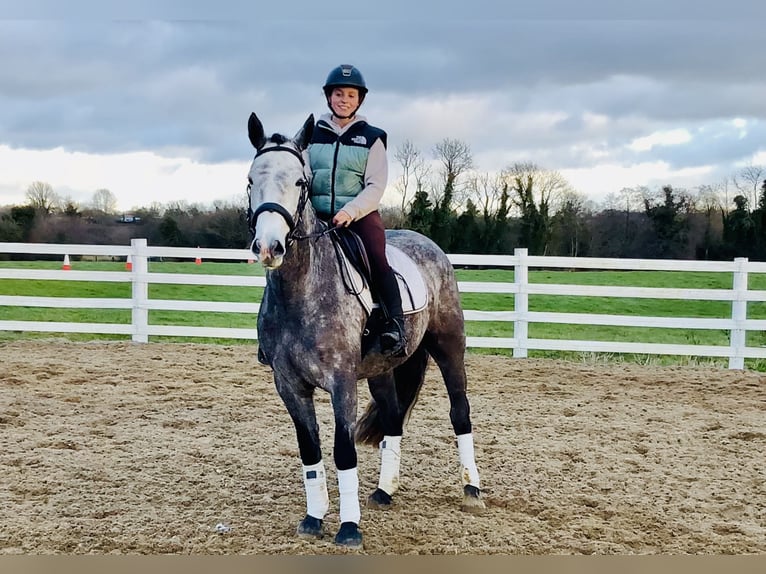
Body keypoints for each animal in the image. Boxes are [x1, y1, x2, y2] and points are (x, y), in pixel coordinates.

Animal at [246, 112, 485, 549]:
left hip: (449, 349)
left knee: (460, 412)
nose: (269, 247)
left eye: (301, 181)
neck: (301, 290)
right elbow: (310, 450)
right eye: (252, 179)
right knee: (393, 418)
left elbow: (343, 451)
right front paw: (314, 518)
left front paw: (349, 527)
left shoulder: (342, 382)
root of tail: (427, 244)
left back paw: (472, 489)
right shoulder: (288, 384)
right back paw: (385, 491)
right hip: (382, 370)